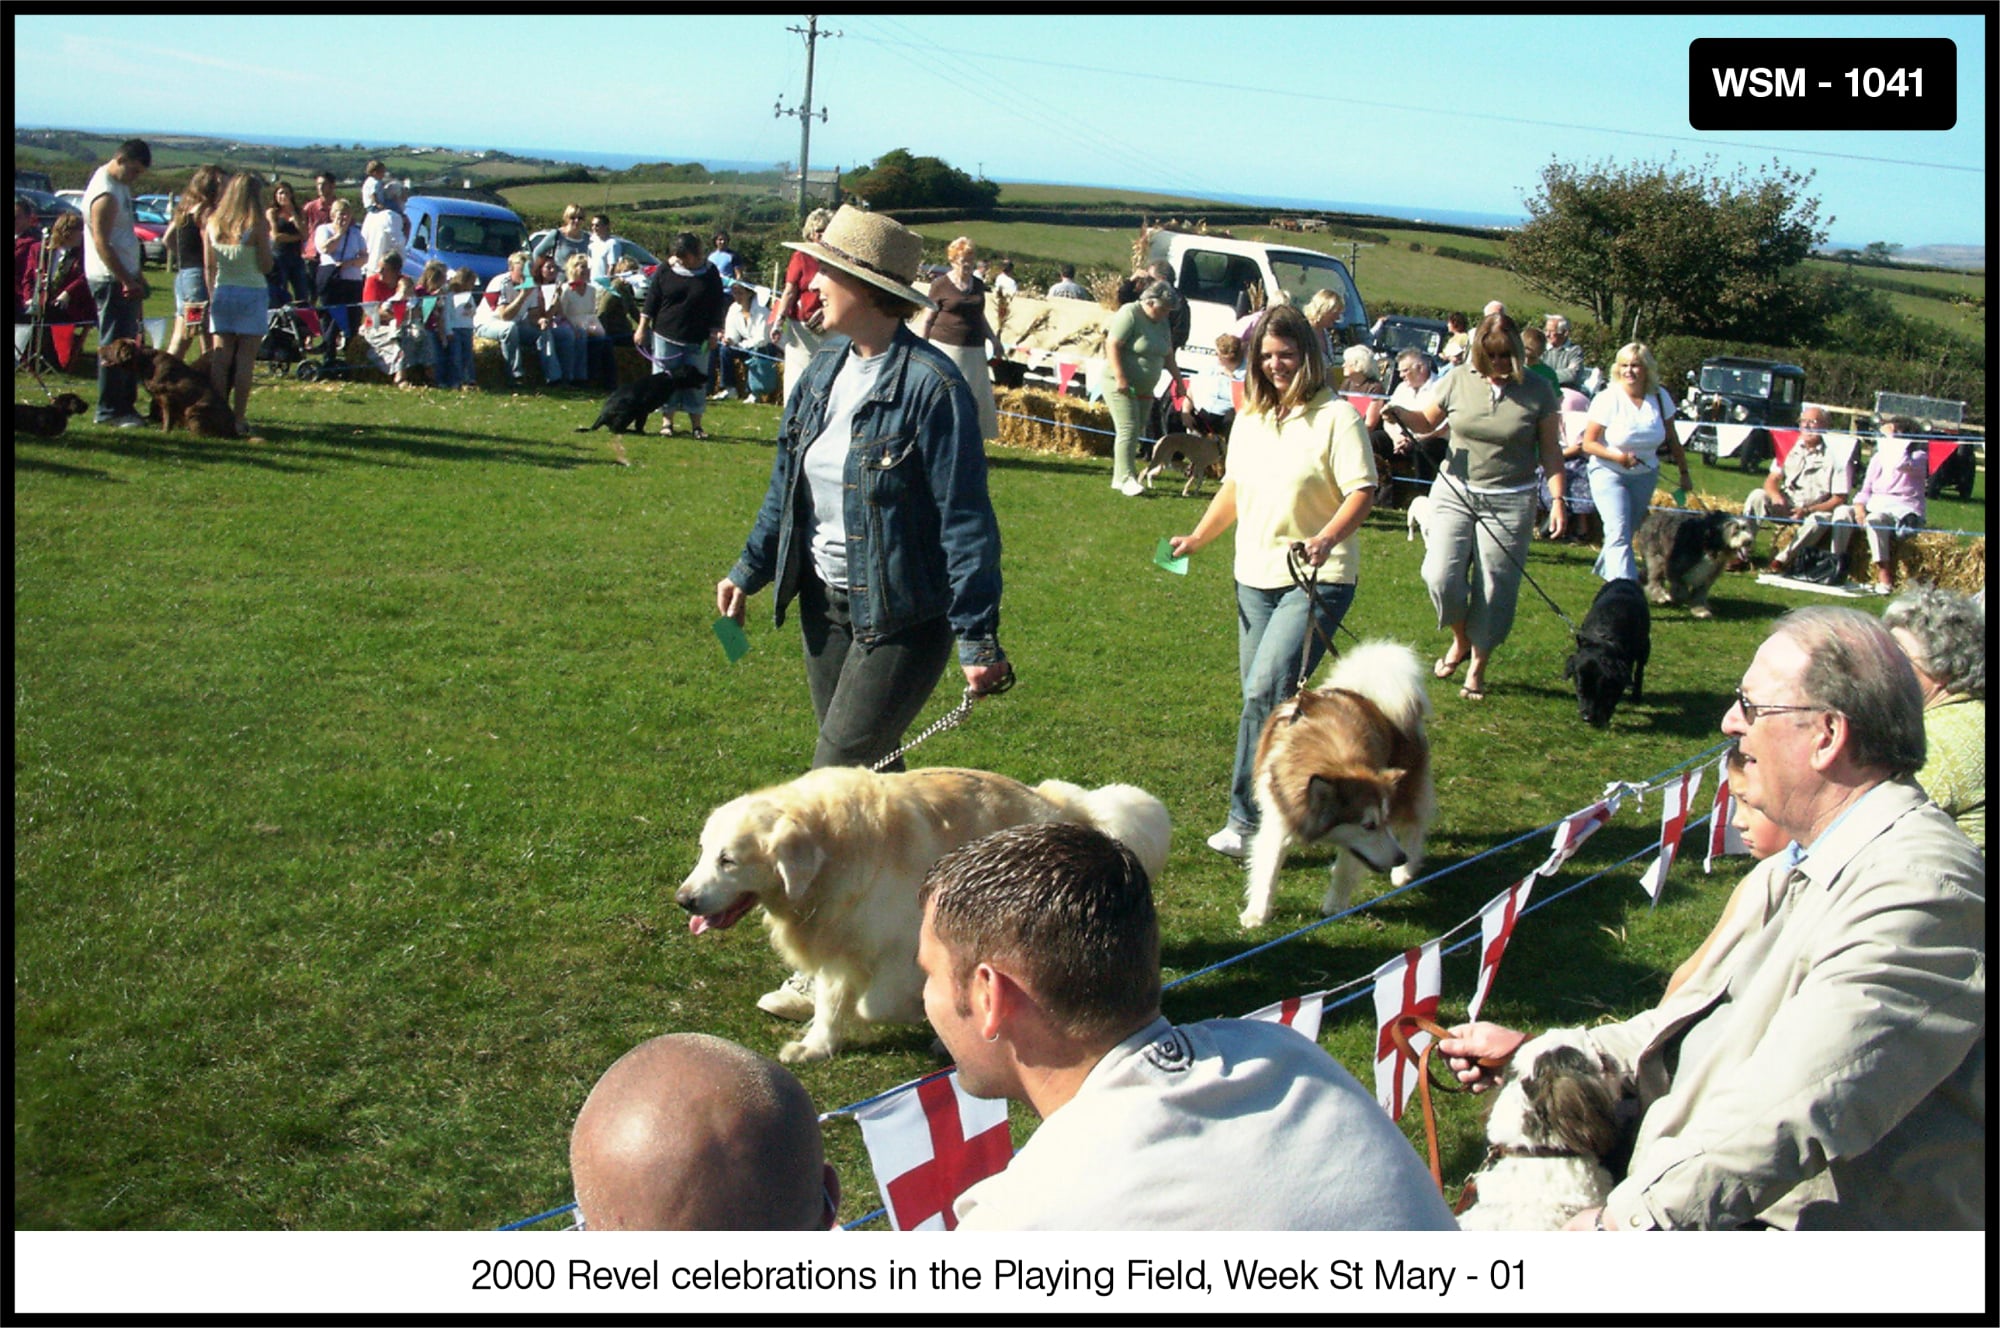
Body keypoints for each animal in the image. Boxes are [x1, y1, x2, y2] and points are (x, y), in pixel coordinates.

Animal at [99, 338, 236, 436]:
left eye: (111, 346)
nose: (99, 348)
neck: (145, 361)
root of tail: (233, 430)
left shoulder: (167, 397)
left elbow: (167, 417)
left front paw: (164, 432)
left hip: (193, 409)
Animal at [680, 764, 1168, 1064]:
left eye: (728, 861)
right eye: (704, 852)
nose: (684, 900)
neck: (833, 852)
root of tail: (1059, 804)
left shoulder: (903, 947)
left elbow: (873, 1003)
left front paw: (918, 1012)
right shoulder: (838, 947)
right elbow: (830, 1003)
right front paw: (816, 1045)